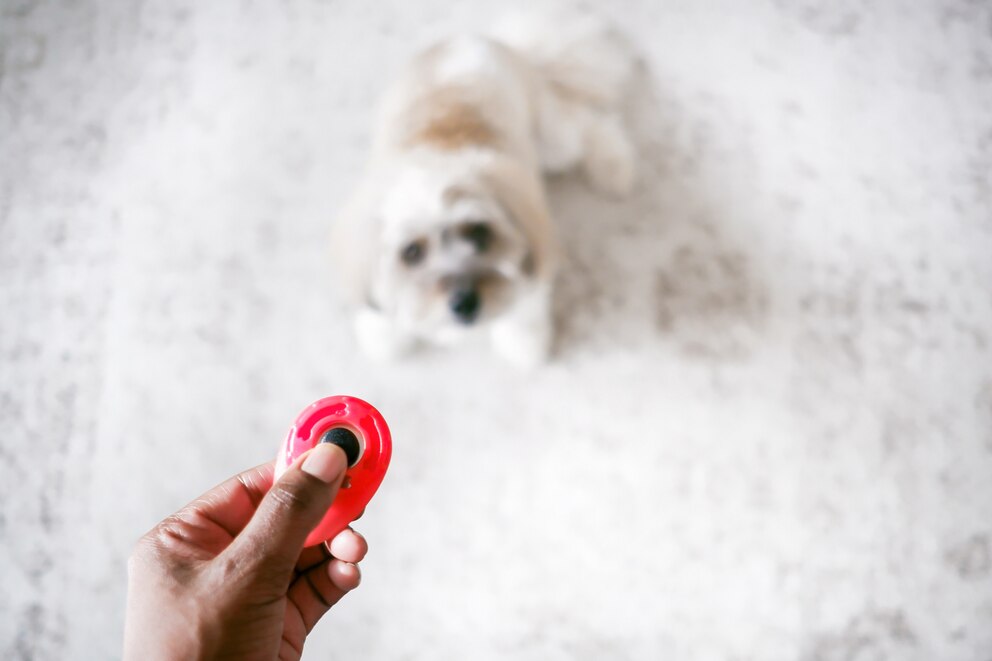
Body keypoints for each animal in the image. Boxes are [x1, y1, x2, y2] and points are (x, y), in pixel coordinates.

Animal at [334, 11, 640, 366]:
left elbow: (521, 317)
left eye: (480, 232)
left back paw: (614, 167)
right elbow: (382, 316)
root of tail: (482, 40)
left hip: (553, 141)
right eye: (411, 252)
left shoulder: (529, 264)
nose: (464, 303)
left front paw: (523, 348)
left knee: (591, 125)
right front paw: (387, 338)